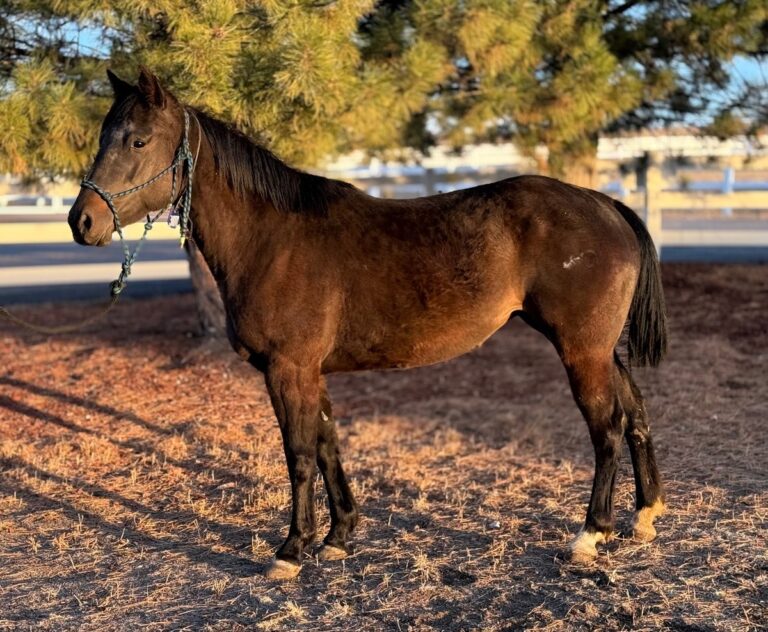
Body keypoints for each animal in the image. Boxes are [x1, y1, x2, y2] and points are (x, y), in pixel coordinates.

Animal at [68, 68, 667, 579]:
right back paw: (644, 517)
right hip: (601, 351)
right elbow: (328, 443)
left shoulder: (288, 369)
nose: (82, 222)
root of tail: (606, 205)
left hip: (581, 351)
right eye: (103, 137)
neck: (272, 238)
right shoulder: (311, 372)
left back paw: (590, 534)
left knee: (606, 428)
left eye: (138, 141)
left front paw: (291, 550)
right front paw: (338, 538)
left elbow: (299, 455)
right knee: (635, 413)